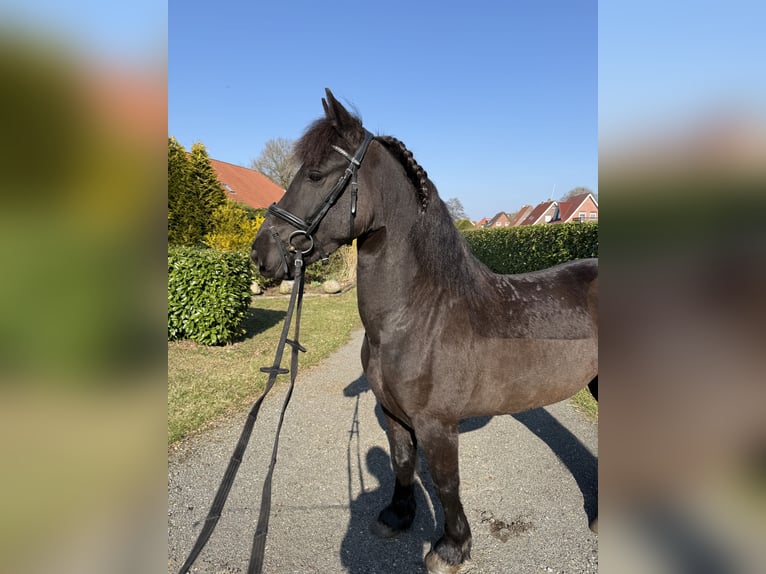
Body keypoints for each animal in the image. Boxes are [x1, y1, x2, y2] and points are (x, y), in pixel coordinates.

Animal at [251, 89, 598, 574]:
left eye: (316, 174)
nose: (260, 252)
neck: (418, 315)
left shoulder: (437, 424)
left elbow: (446, 481)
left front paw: (451, 547)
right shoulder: (395, 414)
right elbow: (402, 464)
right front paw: (397, 517)